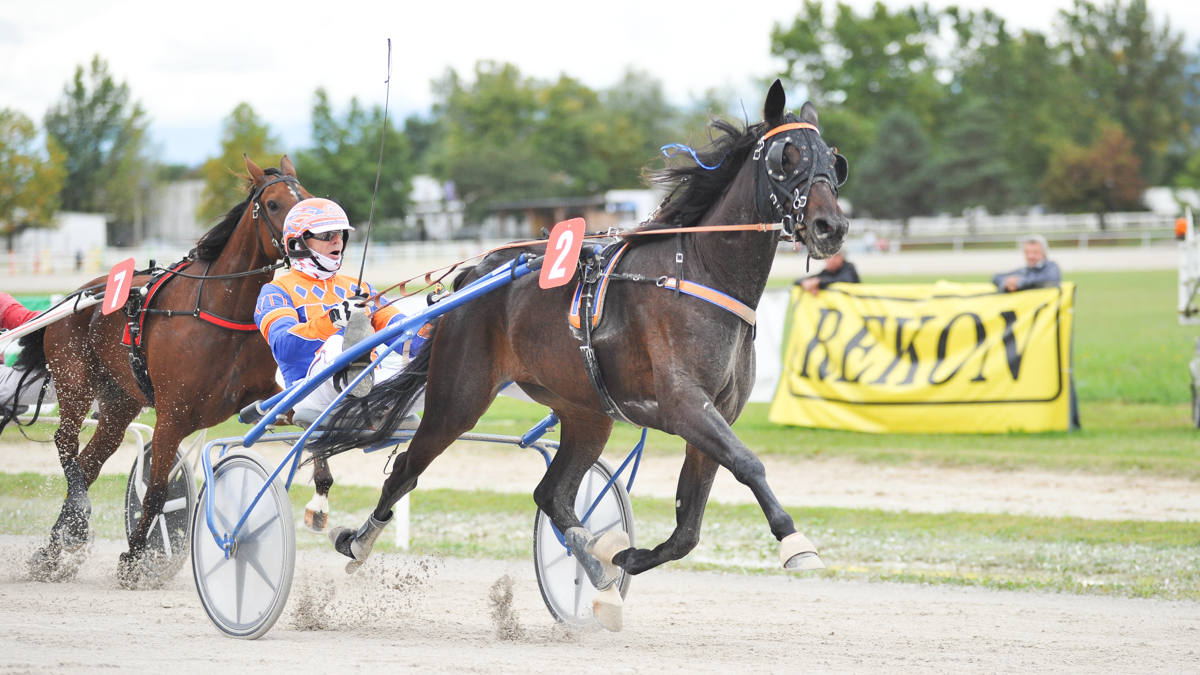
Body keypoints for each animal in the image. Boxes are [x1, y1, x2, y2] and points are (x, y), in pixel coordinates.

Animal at [24, 157, 312, 585]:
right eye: (274, 204)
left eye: (306, 197)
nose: (311, 242)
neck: (221, 311)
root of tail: (76, 296)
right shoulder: (171, 416)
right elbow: (156, 492)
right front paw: (133, 558)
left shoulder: (261, 395)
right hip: (74, 381)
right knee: (65, 442)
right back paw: (72, 524)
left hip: (119, 401)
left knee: (90, 461)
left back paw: (57, 544)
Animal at [310, 80, 850, 629]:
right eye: (787, 155)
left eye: (834, 160)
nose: (830, 226)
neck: (698, 273)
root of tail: (477, 274)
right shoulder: (685, 406)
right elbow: (748, 464)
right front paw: (795, 541)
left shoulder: (713, 415)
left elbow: (688, 527)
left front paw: (620, 557)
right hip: (458, 398)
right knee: (407, 468)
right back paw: (358, 543)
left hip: (586, 412)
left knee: (551, 494)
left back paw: (593, 564)